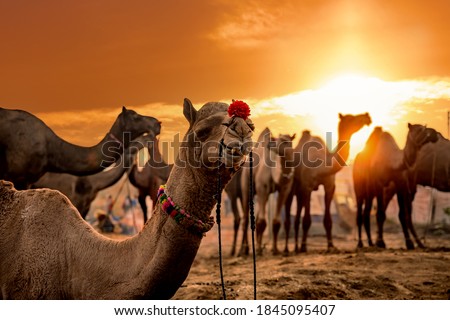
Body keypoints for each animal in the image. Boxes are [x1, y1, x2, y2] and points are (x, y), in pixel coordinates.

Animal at [236, 127, 296, 255]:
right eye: (281, 140)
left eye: (288, 140)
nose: (271, 144)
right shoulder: (262, 188)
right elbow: (262, 222)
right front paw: (258, 250)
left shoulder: (284, 190)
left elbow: (276, 221)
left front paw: (275, 249)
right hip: (246, 185)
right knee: (246, 219)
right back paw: (243, 250)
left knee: (256, 217)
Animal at [286, 112, 370, 252]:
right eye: (351, 118)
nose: (367, 116)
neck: (321, 165)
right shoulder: (307, 186)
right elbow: (307, 220)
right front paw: (304, 246)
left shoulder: (330, 186)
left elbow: (328, 220)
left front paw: (331, 245)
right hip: (293, 186)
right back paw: (289, 248)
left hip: (300, 190)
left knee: (298, 213)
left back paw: (296, 247)